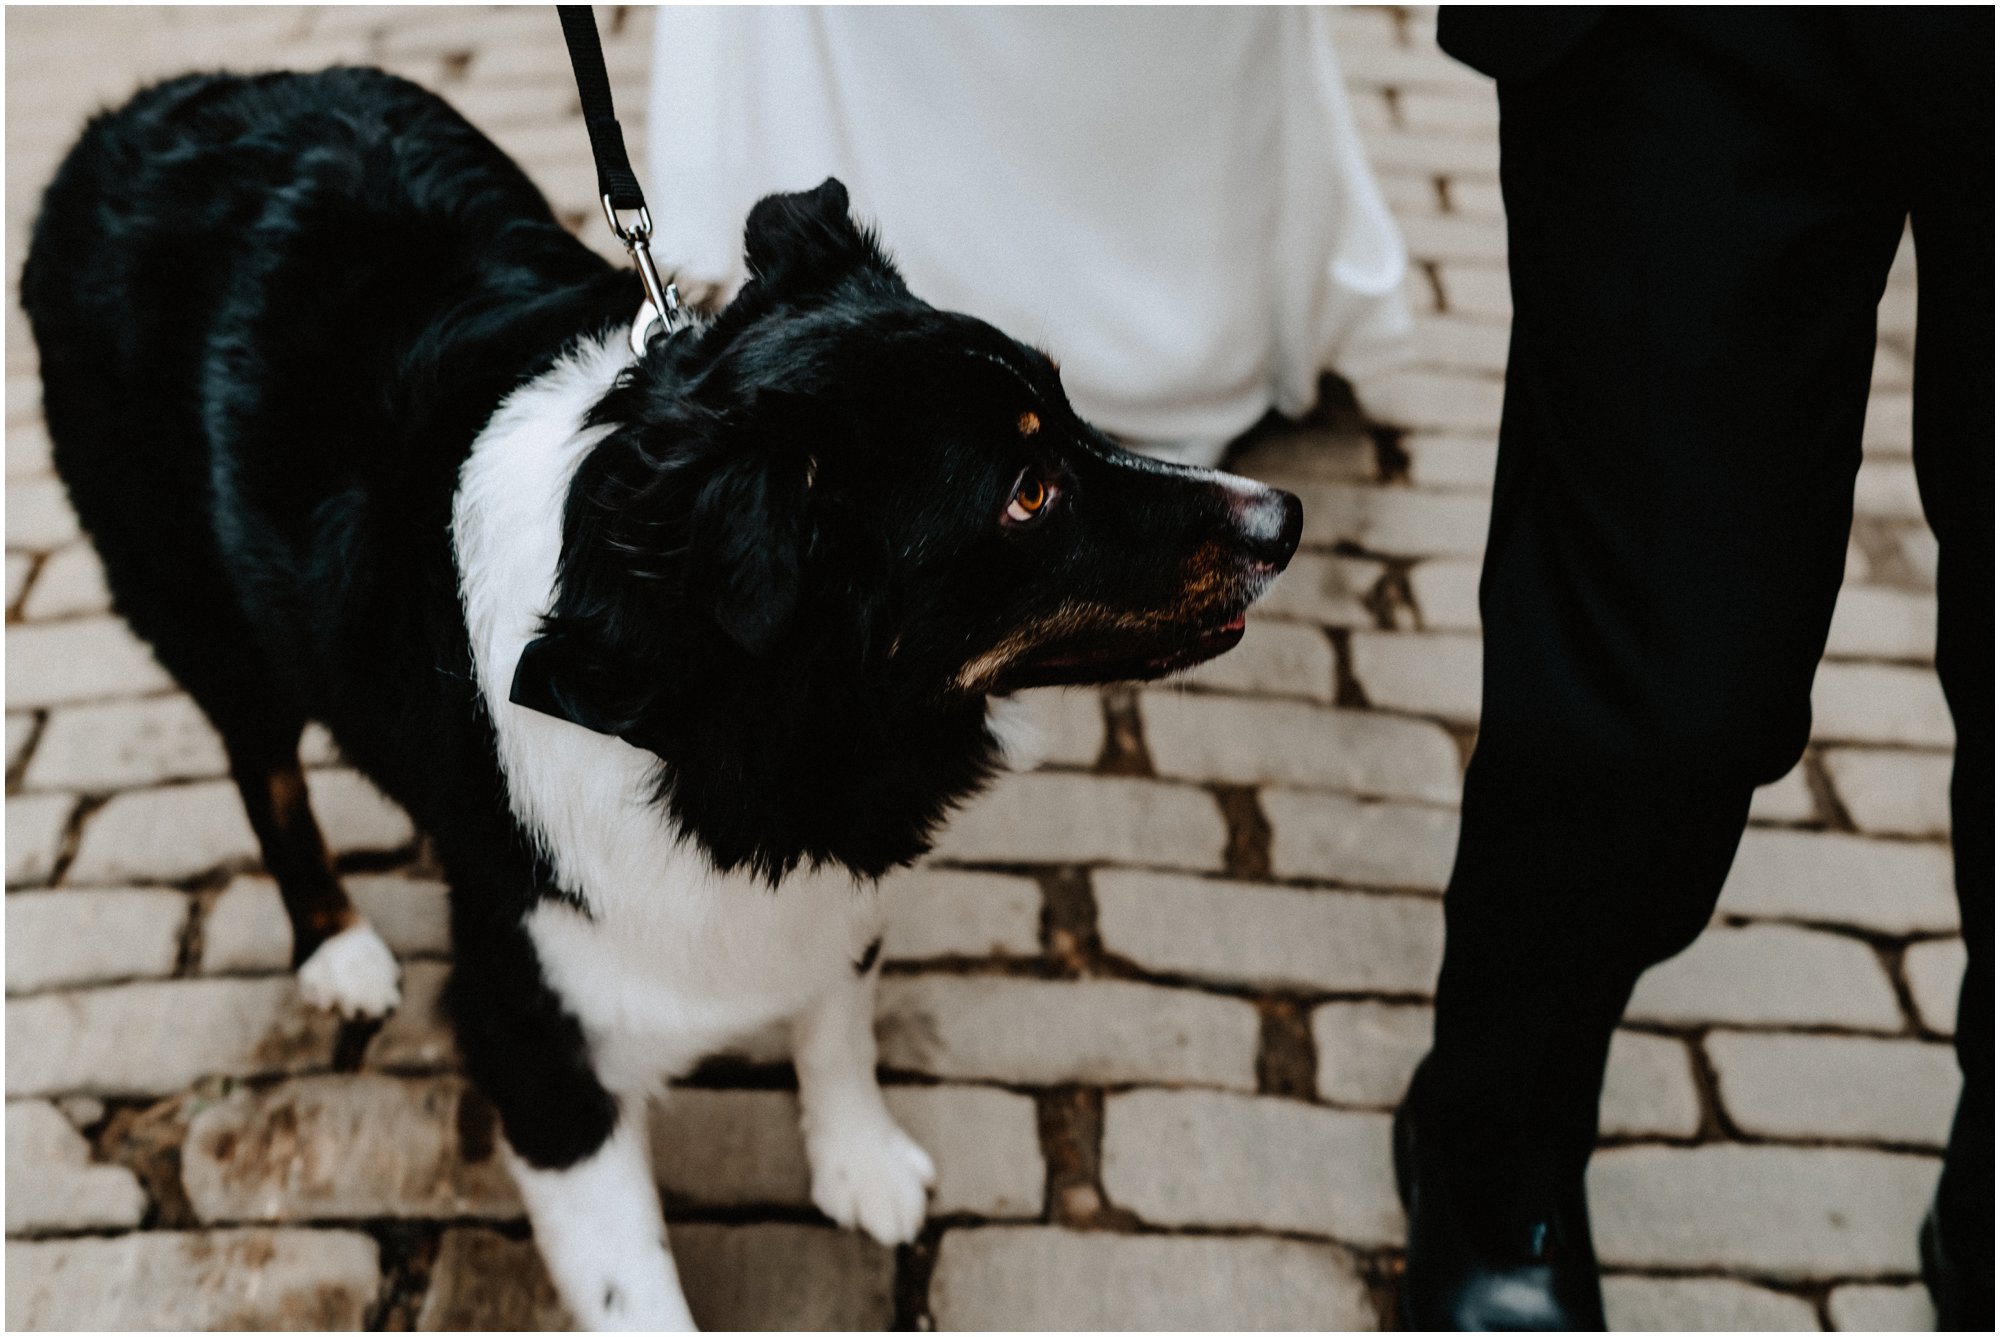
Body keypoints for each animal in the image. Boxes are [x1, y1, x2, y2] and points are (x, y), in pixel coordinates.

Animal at [23, 70, 1304, 1328]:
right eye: (1029, 493)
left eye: (1071, 410)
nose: (1282, 519)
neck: (742, 734)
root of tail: (133, 109)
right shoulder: (535, 1035)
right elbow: (626, 1278)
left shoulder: (833, 855)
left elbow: (835, 1009)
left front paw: (858, 1158)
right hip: (198, 606)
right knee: (261, 758)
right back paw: (334, 944)